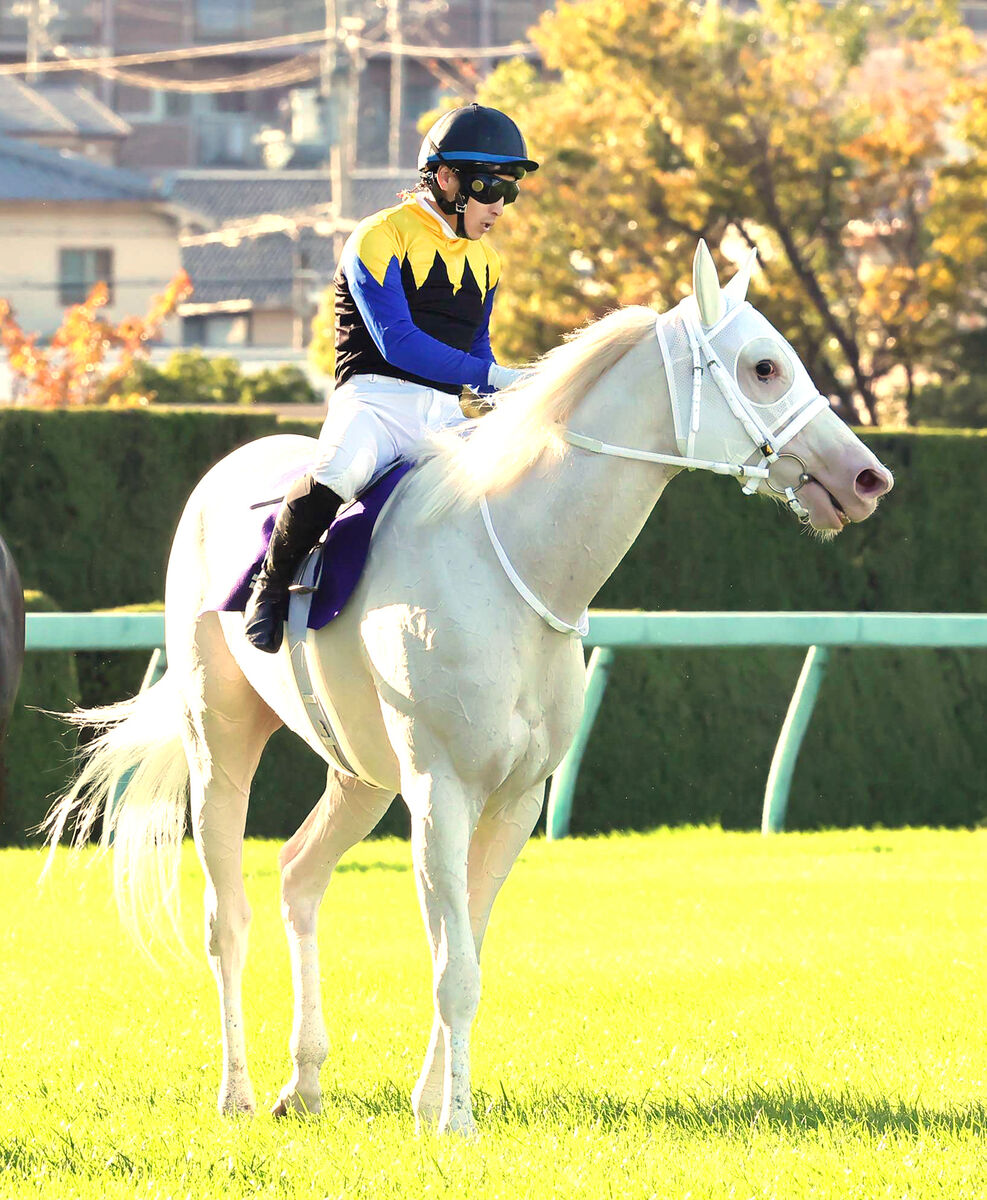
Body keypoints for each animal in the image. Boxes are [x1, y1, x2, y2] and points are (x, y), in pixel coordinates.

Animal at [44, 243, 894, 1136]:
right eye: (764, 366)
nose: (869, 477)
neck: (513, 565)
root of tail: (225, 475)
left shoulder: (516, 799)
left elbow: (470, 954)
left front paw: (431, 1104)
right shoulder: (440, 791)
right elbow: (450, 964)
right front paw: (453, 1122)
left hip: (359, 773)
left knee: (301, 875)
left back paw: (303, 1083)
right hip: (222, 742)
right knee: (226, 917)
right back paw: (236, 1093)